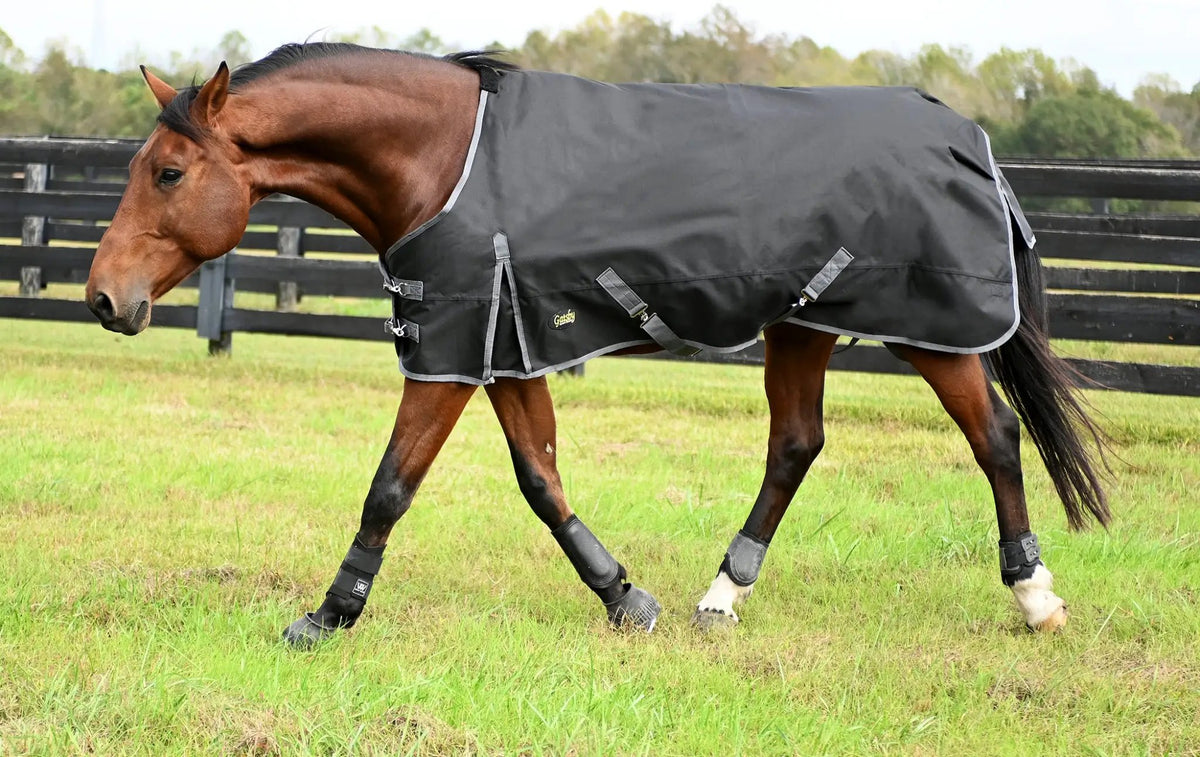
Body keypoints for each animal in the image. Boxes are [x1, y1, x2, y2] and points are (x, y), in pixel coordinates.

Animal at [84, 43, 1109, 648]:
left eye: (167, 172)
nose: (102, 297)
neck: (444, 157)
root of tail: (963, 135)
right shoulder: (502, 343)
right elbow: (540, 479)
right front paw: (625, 597)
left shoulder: (452, 346)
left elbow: (391, 485)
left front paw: (328, 614)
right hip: (803, 324)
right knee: (796, 445)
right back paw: (720, 597)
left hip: (932, 331)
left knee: (995, 439)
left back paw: (1036, 596)